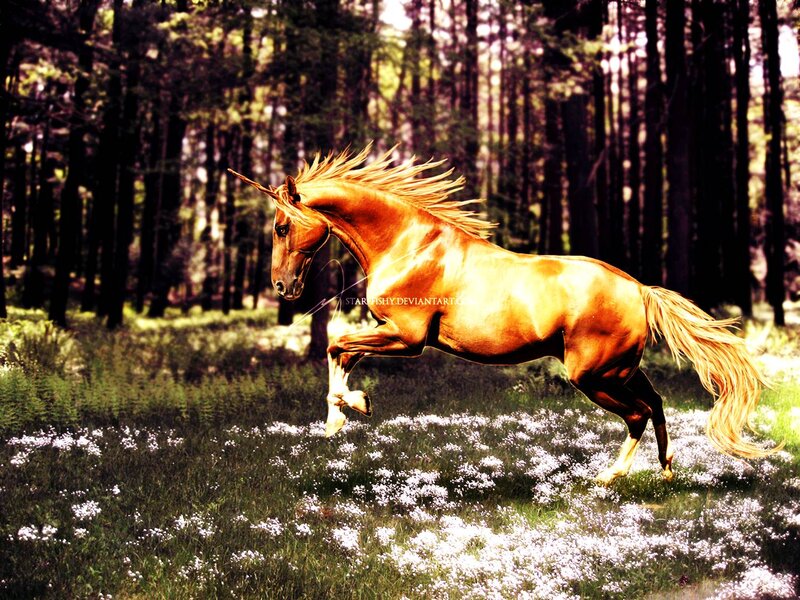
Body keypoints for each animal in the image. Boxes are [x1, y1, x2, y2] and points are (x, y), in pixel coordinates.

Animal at [230, 144, 777, 485]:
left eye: (281, 227)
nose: (282, 287)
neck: (408, 245)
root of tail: (639, 289)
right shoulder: (391, 332)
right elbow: (341, 353)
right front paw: (338, 419)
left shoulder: (406, 336)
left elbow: (335, 345)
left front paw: (350, 409)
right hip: (621, 369)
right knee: (658, 404)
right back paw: (666, 471)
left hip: (594, 375)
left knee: (639, 414)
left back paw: (609, 476)